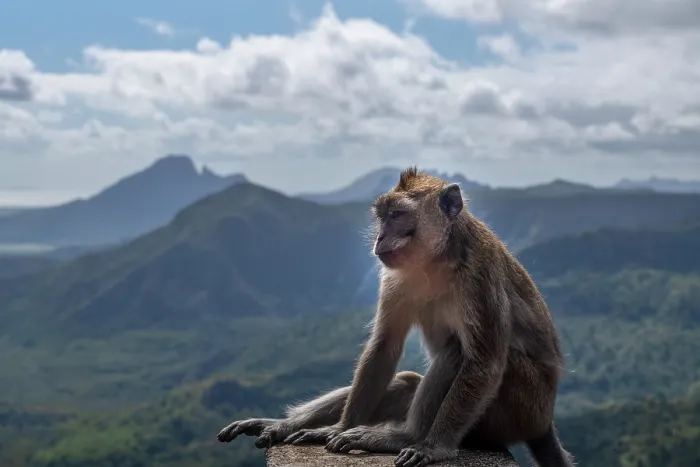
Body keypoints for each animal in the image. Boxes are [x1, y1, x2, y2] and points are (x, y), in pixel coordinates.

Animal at [217, 167, 575, 467]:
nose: (379, 237)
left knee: (457, 352)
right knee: (405, 382)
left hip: (520, 407)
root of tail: (544, 421)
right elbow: (383, 347)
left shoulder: (481, 275)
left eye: (398, 214)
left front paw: (435, 448)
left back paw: (407, 437)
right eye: (382, 217)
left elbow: (483, 362)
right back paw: (290, 425)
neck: (437, 260)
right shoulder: (395, 279)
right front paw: (338, 427)